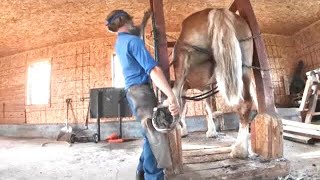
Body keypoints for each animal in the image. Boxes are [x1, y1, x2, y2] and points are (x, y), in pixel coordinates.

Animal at [172, 7, 255, 158]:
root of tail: (217, 10)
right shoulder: (207, 86)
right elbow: (207, 108)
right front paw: (211, 131)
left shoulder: (187, 87)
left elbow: (183, 107)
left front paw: (183, 130)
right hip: (244, 66)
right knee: (245, 103)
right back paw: (240, 149)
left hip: (182, 62)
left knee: (174, 94)